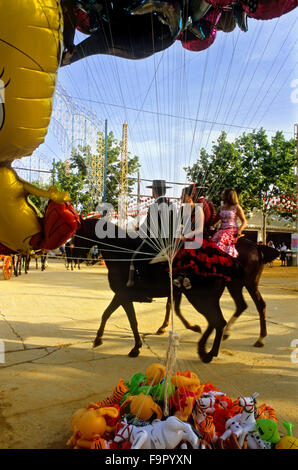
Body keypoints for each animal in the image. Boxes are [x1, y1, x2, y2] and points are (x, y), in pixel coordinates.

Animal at [72, 218, 230, 364]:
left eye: (77, 234)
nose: (73, 253)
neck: (122, 254)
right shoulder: (121, 296)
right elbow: (107, 314)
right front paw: (99, 339)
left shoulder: (123, 296)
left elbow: (131, 321)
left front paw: (136, 347)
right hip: (205, 299)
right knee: (216, 322)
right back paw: (205, 348)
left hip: (201, 299)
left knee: (218, 322)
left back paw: (207, 352)